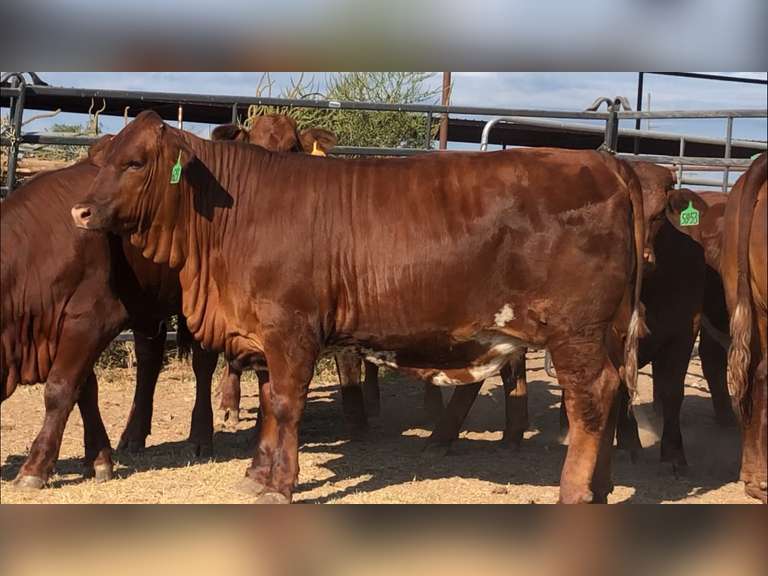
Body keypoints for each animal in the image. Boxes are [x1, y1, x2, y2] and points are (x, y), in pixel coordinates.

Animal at [72, 110, 646, 504]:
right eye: (103, 159)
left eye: (134, 162)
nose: (80, 210)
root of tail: (605, 162)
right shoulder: (263, 335)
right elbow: (268, 403)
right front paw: (257, 474)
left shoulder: (291, 329)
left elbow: (287, 405)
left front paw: (280, 485)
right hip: (605, 330)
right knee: (614, 389)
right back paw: (602, 488)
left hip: (575, 330)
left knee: (592, 396)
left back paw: (573, 492)